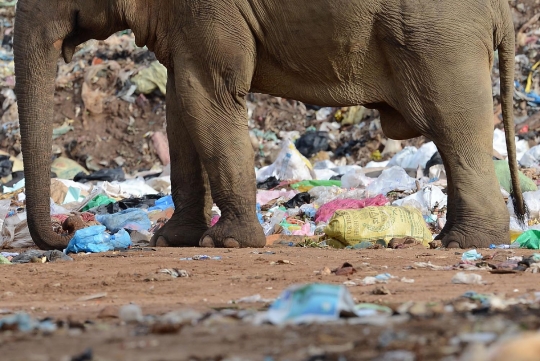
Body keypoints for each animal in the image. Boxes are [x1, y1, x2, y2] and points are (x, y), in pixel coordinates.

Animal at [13, 0, 528, 249]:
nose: (68, 230)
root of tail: (505, 12)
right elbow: (180, 106)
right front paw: (171, 241)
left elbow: (208, 97)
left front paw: (227, 242)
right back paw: (459, 240)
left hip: (439, 40)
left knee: (452, 125)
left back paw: (463, 242)